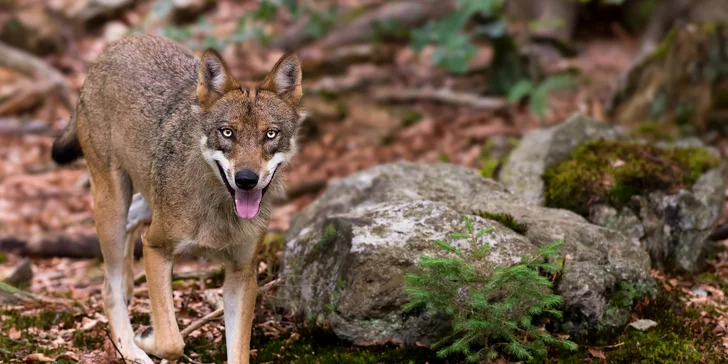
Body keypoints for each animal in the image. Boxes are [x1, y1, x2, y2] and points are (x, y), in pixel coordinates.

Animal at [49, 34, 304, 364]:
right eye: (227, 133)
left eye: (270, 135)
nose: (246, 179)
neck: (219, 211)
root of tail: (118, 44)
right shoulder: (156, 248)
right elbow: (172, 341)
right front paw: (146, 338)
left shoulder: (242, 273)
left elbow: (238, 354)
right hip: (112, 205)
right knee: (108, 289)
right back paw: (131, 349)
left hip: (144, 203)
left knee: (131, 230)